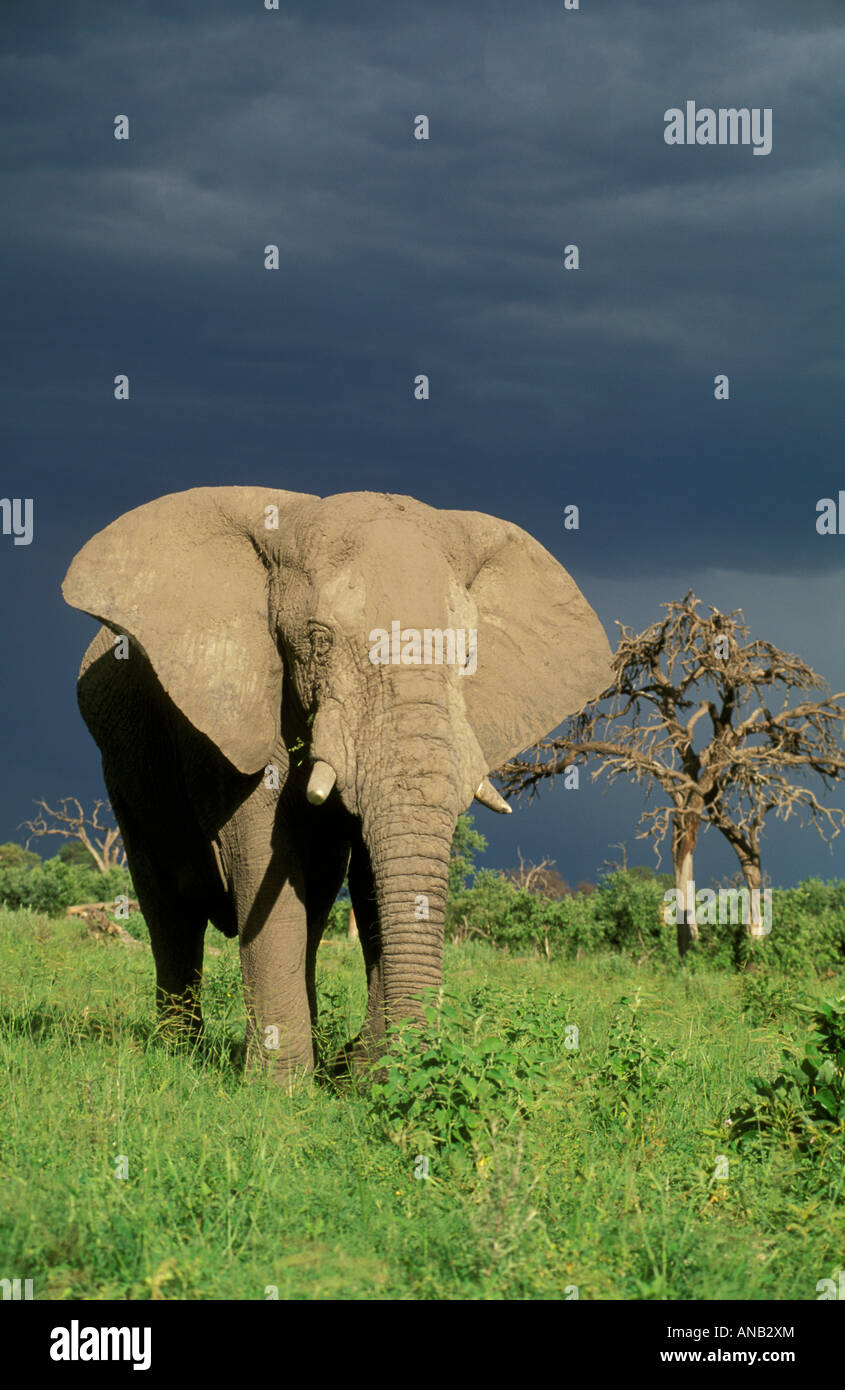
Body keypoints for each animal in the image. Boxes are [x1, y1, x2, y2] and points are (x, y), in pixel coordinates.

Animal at [62, 486, 612, 1080]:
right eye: (319, 642)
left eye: (468, 655)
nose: (413, 1062)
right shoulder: (222, 713)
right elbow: (262, 856)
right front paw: (281, 1088)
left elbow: (369, 876)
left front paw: (362, 1075)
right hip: (123, 760)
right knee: (170, 903)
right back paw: (178, 1052)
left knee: (316, 893)